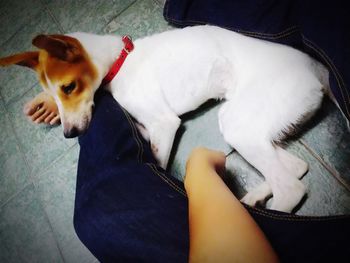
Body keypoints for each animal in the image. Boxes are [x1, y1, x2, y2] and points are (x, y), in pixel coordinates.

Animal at [0, 25, 330, 213]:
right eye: (53, 94)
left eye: (68, 87)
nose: (69, 134)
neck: (121, 60)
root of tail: (316, 68)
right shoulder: (150, 126)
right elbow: (140, 131)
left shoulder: (164, 123)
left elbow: (157, 160)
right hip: (250, 124)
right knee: (296, 168)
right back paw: (255, 198)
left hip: (240, 123)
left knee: (291, 188)